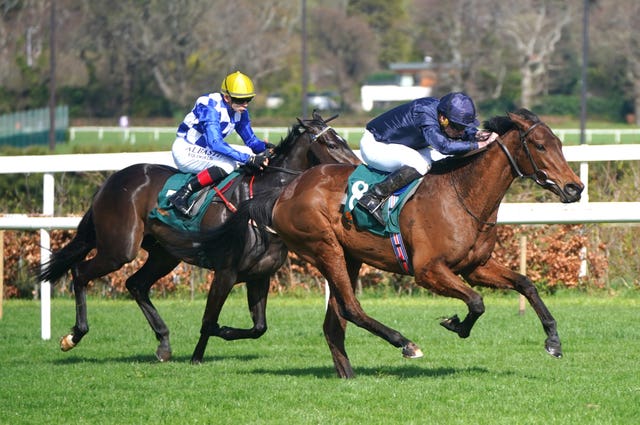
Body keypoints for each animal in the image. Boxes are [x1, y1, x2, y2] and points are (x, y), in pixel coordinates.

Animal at [38, 112, 360, 362]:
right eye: (332, 143)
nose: (354, 168)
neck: (261, 202)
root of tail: (111, 181)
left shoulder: (260, 275)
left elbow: (258, 327)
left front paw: (220, 335)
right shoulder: (226, 272)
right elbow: (209, 320)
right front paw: (198, 355)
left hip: (164, 255)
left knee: (136, 284)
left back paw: (163, 343)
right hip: (119, 248)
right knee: (80, 272)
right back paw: (74, 335)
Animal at [202, 107, 584, 376]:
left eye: (559, 144)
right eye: (539, 145)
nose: (575, 187)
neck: (461, 194)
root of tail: (285, 191)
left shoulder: (475, 266)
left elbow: (525, 283)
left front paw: (552, 340)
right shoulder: (428, 271)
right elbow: (476, 302)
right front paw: (456, 325)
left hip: (348, 255)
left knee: (335, 321)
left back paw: (349, 374)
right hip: (324, 248)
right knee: (351, 308)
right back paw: (405, 343)